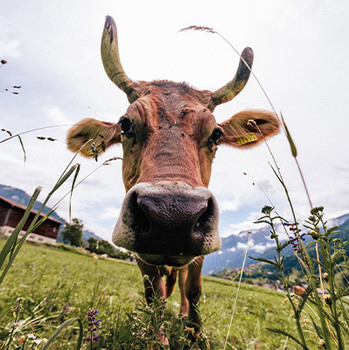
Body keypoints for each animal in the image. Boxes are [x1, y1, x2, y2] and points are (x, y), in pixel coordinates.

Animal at [67, 15, 280, 342]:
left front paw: (195, 334)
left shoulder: (199, 253)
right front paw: (156, 336)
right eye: (125, 124)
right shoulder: (140, 252)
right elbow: (153, 294)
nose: (172, 214)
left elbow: (193, 290)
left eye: (216, 134)